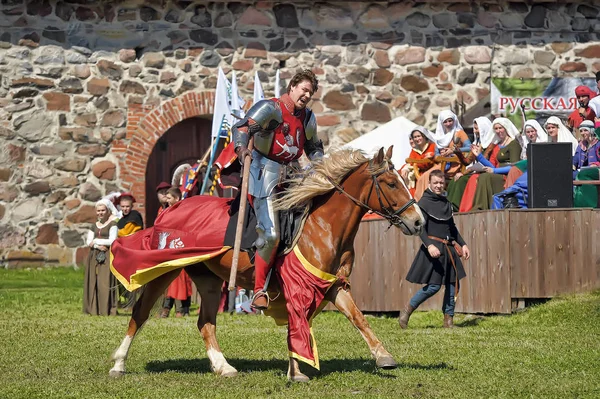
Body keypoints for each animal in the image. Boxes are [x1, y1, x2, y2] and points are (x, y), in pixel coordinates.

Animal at [109, 146, 426, 382]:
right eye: (390, 183)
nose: (418, 221)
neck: (322, 225)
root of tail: (170, 209)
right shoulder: (299, 286)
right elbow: (298, 324)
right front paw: (296, 372)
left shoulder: (332, 284)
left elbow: (357, 317)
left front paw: (383, 356)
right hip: (163, 269)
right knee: (140, 313)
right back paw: (118, 364)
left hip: (208, 279)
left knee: (205, 323)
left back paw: (223, 367)